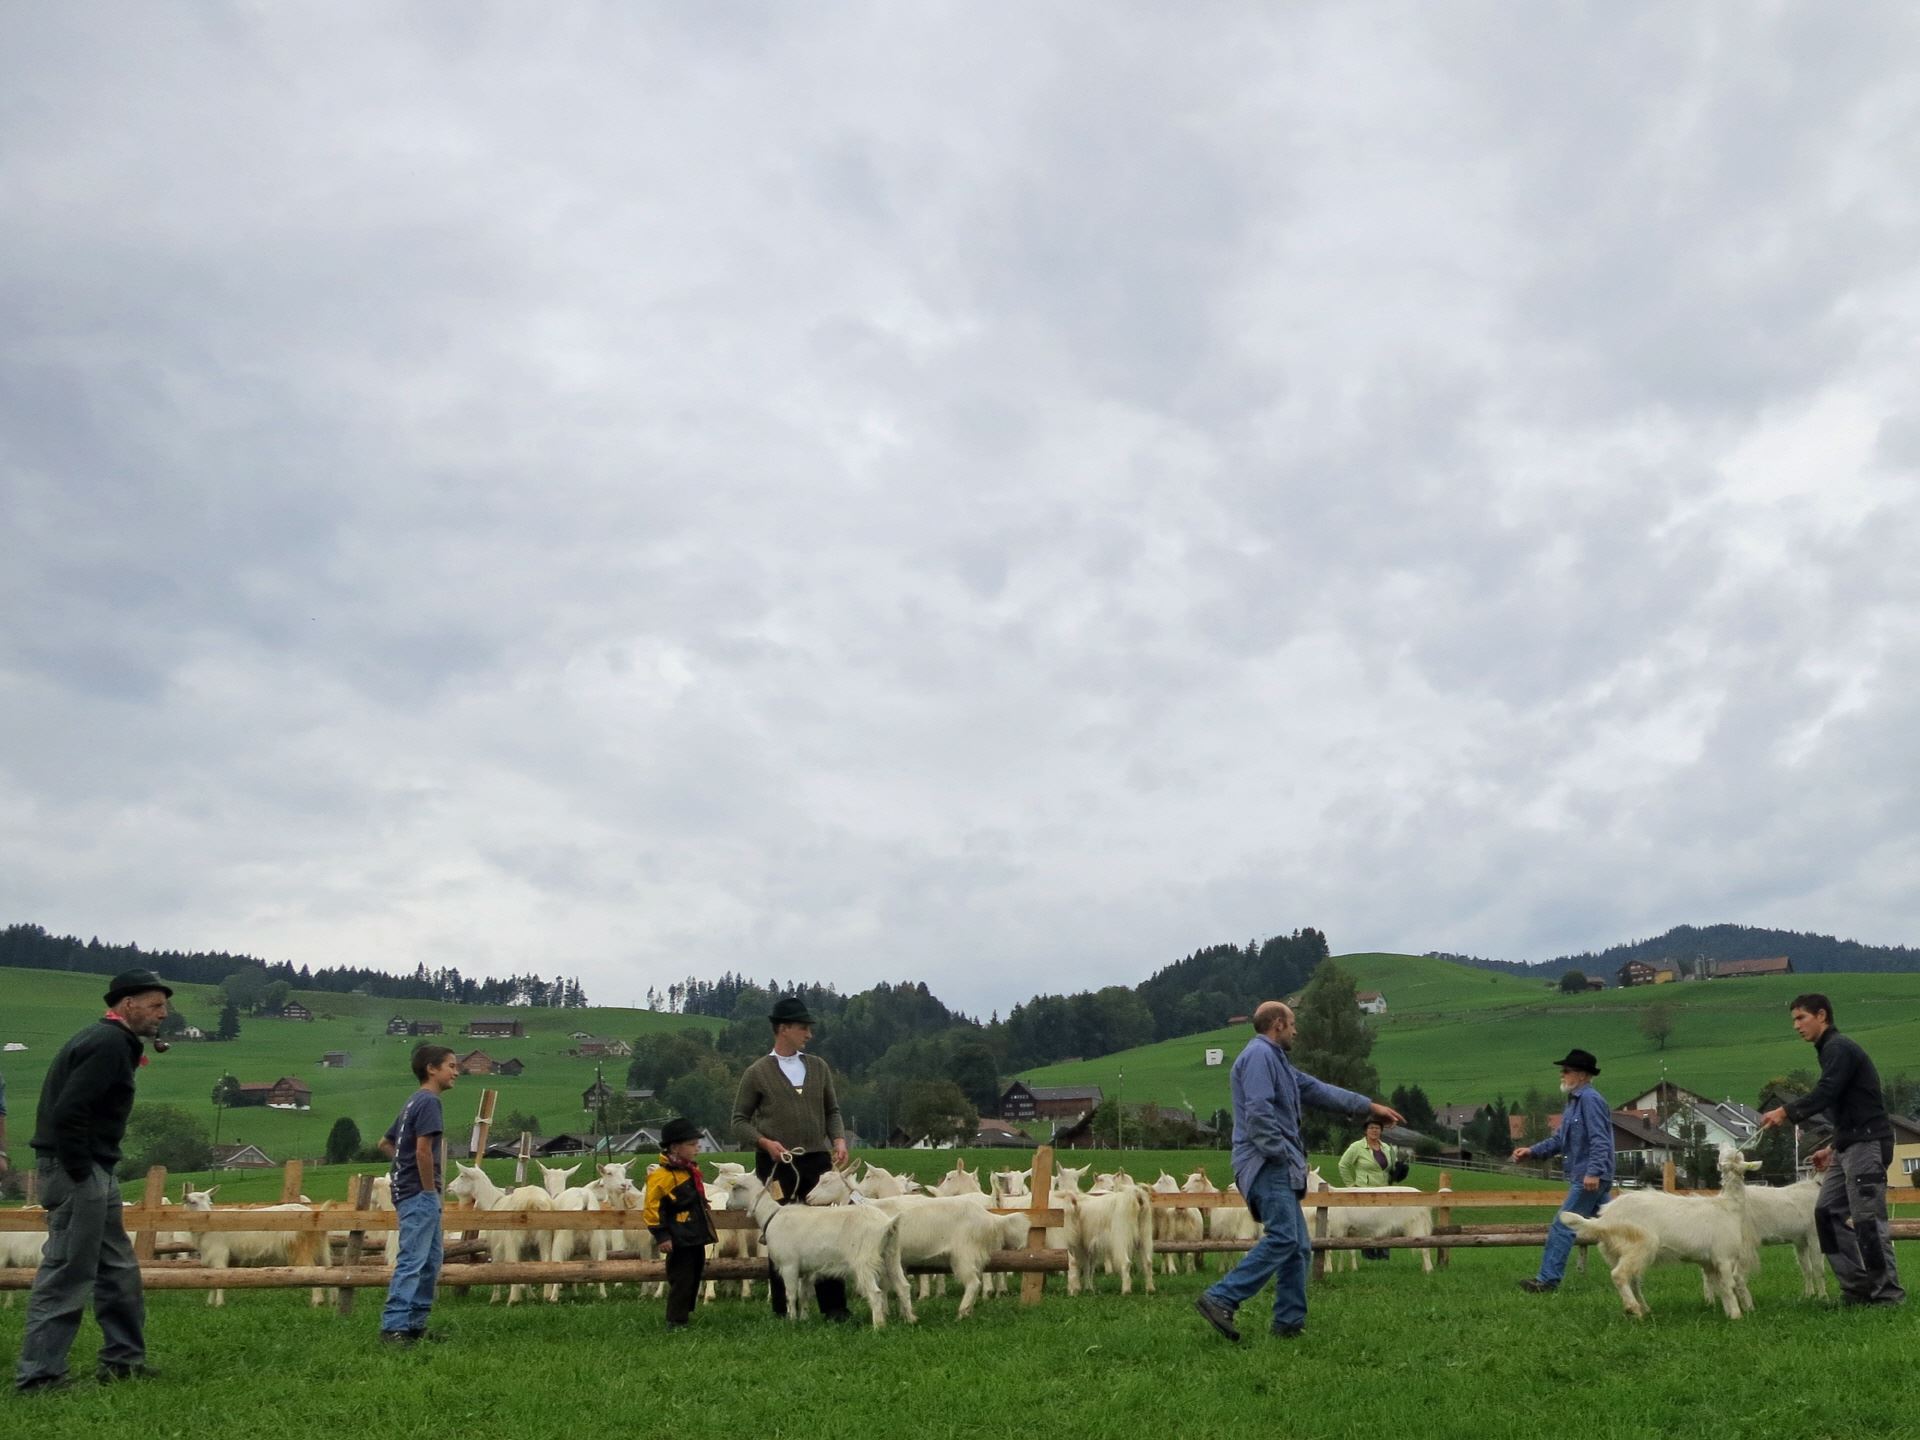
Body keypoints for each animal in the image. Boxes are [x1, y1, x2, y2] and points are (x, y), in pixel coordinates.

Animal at [446, 1163, 557, 1305]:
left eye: (462, 1176)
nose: (448, 1187)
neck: (492, 1203)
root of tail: (532, 1201)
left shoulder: (497, 1246)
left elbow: (497, 1267)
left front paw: (495, 1298)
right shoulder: (526, 1248)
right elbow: (527, 1268)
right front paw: (531, 1296)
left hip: (513, 1239)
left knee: (514, 1264)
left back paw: (513, 1299)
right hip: (545, 1238)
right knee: (546, 1261)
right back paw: (547, 1296)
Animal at [725, 1174, 914, 1327]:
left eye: (734, 1189)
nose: (726, 1206)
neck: (771, 1216)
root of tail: (887, 1224)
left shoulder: (789, 1265)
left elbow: (791, 1295)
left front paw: (791, 1321)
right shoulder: (806, 1271)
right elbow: (803, 1295)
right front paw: (804, 1319)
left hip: (864, 1260)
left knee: (875, 1293)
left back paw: (878, 1326)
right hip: (891, 1255)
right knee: (903, 1286)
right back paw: (909, 1320)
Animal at [1304, 1168, 1435, 1274]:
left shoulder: (1336, 1229)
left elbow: (1330, 1251)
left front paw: (1330, 1270)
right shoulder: (1349, 1231)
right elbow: (1350, 1251)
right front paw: (1352, 1269)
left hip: (1417, 1225)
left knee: (1424, 1248)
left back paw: (1428, 1271)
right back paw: (1425, 1268)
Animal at [1558, 1144, 1761, 1320]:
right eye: (1734, 1154)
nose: (1722, 1145)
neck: (1729, 1206)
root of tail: (1604, 1219)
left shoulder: (1710, 1262)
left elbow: (1720, 1287)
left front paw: (1728, 1311)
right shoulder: (1723, 1256)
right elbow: (1728, 1285)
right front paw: (1736, 1316)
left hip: (1617, 1251)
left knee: (1632, 1279)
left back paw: (1643, 1309)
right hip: (1639, 1244)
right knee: (1619, 1275)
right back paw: (1633, 1308)